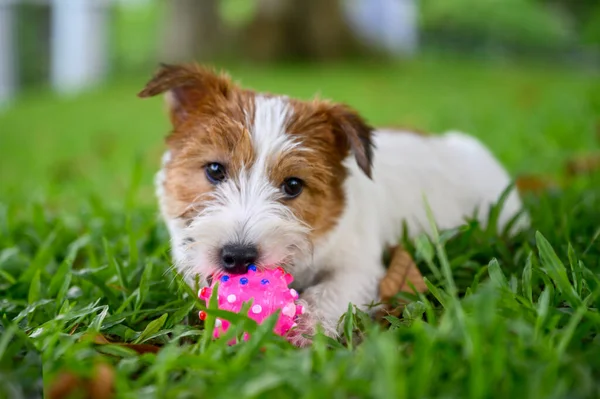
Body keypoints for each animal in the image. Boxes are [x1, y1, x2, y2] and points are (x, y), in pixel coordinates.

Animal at [138, 64, 528, 346]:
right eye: (215, 170)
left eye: (293, 185)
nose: (237, 257)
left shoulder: (359, 269)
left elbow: (330, 292)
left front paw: (307, 328)